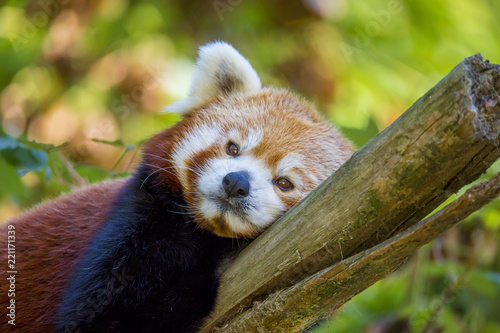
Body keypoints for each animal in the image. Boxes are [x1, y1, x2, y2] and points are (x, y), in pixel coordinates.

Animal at [0, 42, 354, 330]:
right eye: (233, 148)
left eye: (284, 183)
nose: (236, 183)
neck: (207, 234)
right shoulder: (136, 219)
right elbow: (95, 318)